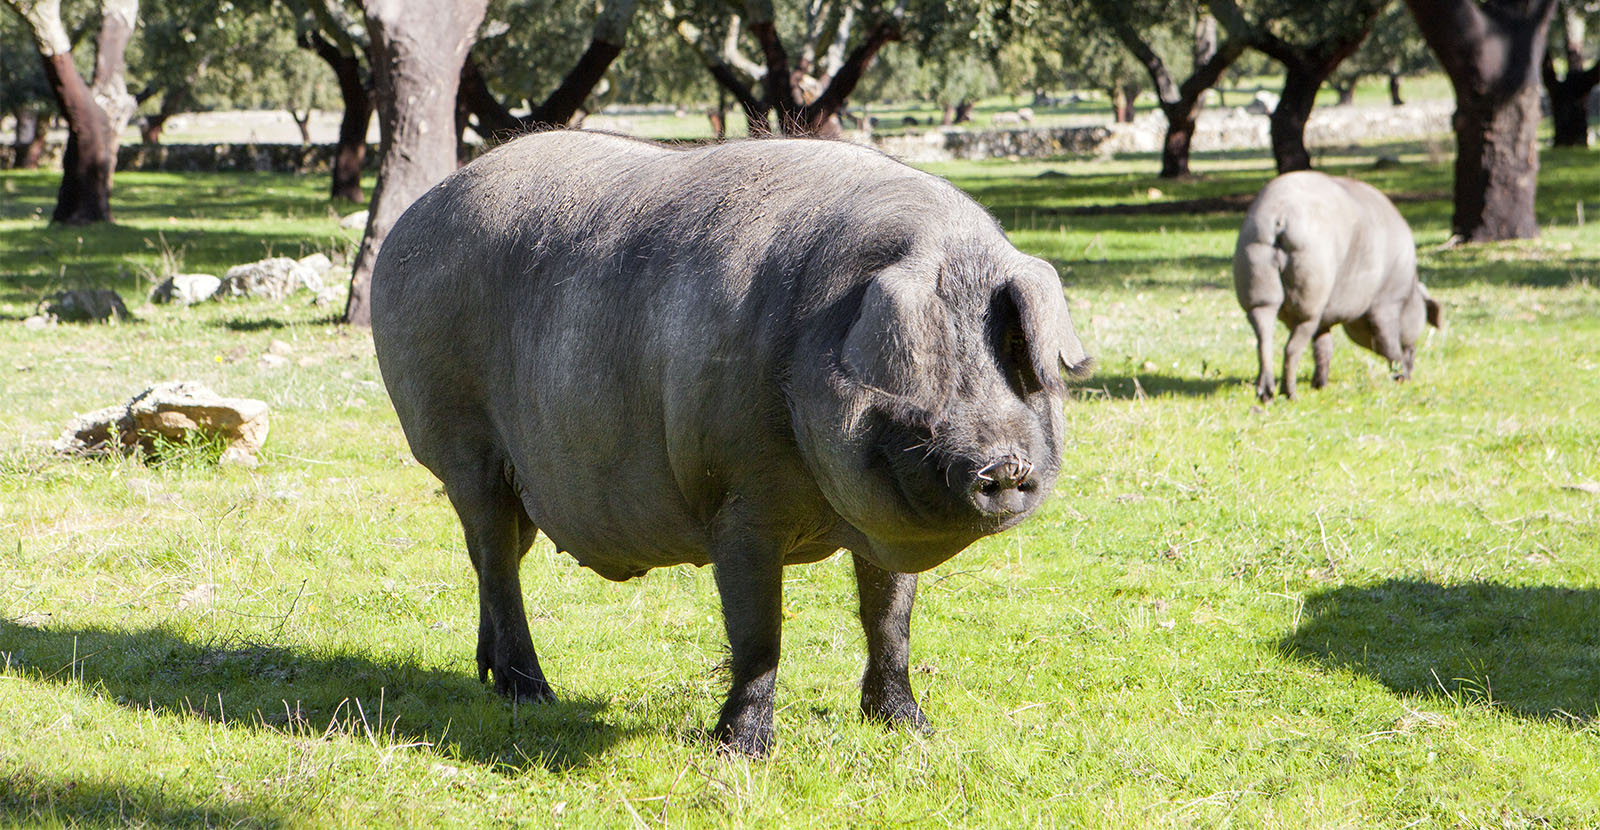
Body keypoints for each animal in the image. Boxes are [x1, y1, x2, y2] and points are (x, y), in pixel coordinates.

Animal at [368, 131, 1094, 761]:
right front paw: (743, 752)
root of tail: (416, 216)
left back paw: (491, 679)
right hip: (460, 443)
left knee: (494, 561)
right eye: (920, 372)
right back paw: (534, 695)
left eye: (1010, 352)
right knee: (494, 557)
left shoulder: (883, 526)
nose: (1005, 464)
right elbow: (759, 631)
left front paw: (912, 730)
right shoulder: (737, 501)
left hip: (516, 481)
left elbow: (890, 619)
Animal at [1228, 170, 1446, 401]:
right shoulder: (1385, 303)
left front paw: (1320, 385)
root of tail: (1280, 216)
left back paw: (1266, 393)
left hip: (1255, 270)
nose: (1412, 371)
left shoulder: (1325, 319)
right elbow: (1387, 342)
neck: (1408, 292)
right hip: (1310, 292)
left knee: (1263, 332)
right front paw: (1401, 377)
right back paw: (1290, 394)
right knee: (1292, 347)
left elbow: (1324, 347)